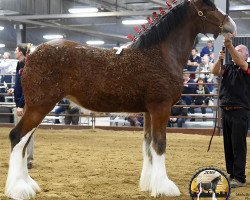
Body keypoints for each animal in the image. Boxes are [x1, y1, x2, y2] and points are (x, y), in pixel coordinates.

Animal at [4, 0, 236, 199]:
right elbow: (159, 144)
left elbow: (148, 145)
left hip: (37, 107)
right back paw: (18, 189)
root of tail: (32, 52)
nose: (231, 26)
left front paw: (149, 184)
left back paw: (27, 185)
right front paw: (164, 187)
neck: (160, 54)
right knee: (18, 137)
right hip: (40, 106)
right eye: (208, 8)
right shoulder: (160, 108)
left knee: (24, 142)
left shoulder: (149, 111)